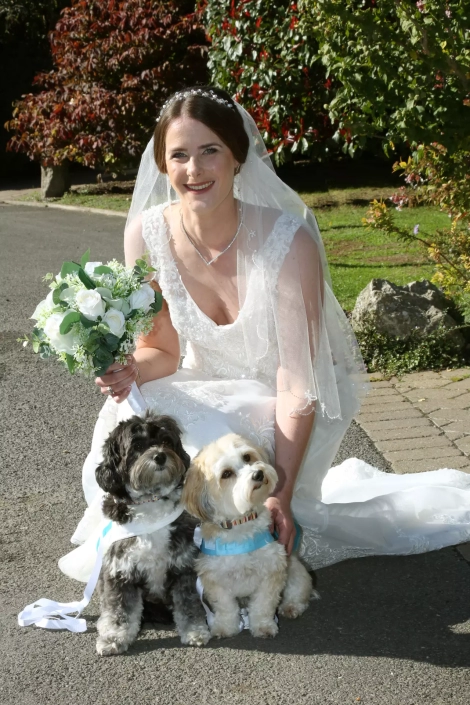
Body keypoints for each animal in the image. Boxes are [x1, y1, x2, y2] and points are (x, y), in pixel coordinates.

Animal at [94, 411, 210, 656]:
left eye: (166, 441)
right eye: (137, 446)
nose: (160, 456)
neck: (151, 501)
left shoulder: (184, 567)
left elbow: (188, 604)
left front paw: (195, 631)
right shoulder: (120, 573)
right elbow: (119, 612)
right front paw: (113, 638)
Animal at [182, 433, 314, 639]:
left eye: (247, 457)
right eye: (226, 474)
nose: (258, 474)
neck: (240, 523)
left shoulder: (272, 570)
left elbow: (263, 604)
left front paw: (263, 626)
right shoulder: (215, 579)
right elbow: (225, 607)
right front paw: (225, 627)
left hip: (294, 569)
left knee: (298, 588)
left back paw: (292, 606)